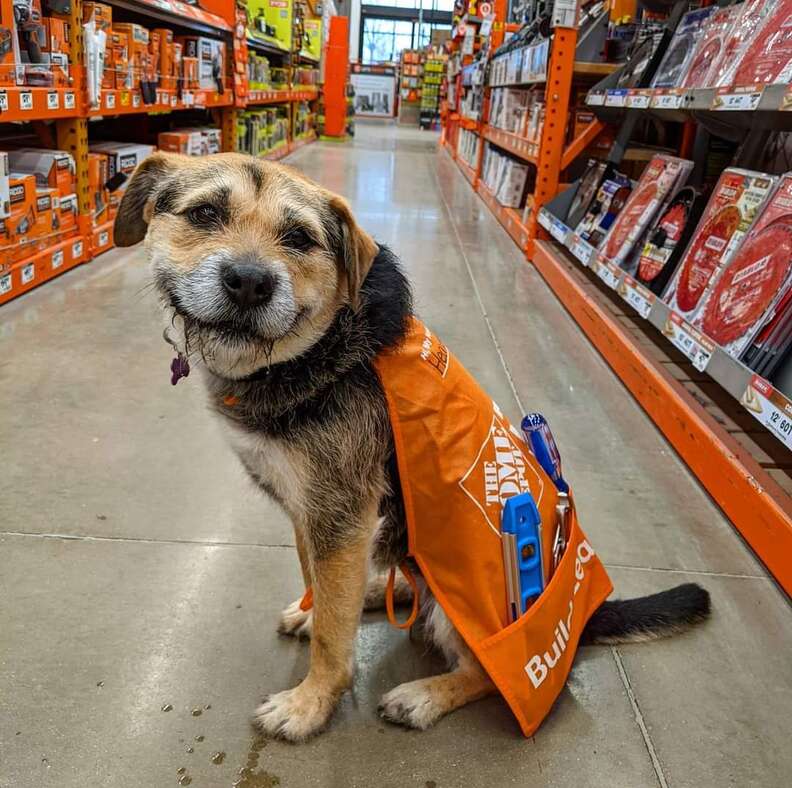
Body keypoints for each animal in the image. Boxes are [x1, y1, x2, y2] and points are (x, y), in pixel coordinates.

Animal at [114, 152, 716, 740]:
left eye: (300, 239)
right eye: (204, 215)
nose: (248, 281)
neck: (317, 352)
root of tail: (584, 618)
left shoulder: (340, 515)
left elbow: (333, 636)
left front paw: (311, 703)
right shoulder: (316, 514)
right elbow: (318, 584)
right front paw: (315, 613)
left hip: (479, 609)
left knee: (485, 673)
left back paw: (423, 695)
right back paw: (379, 590)